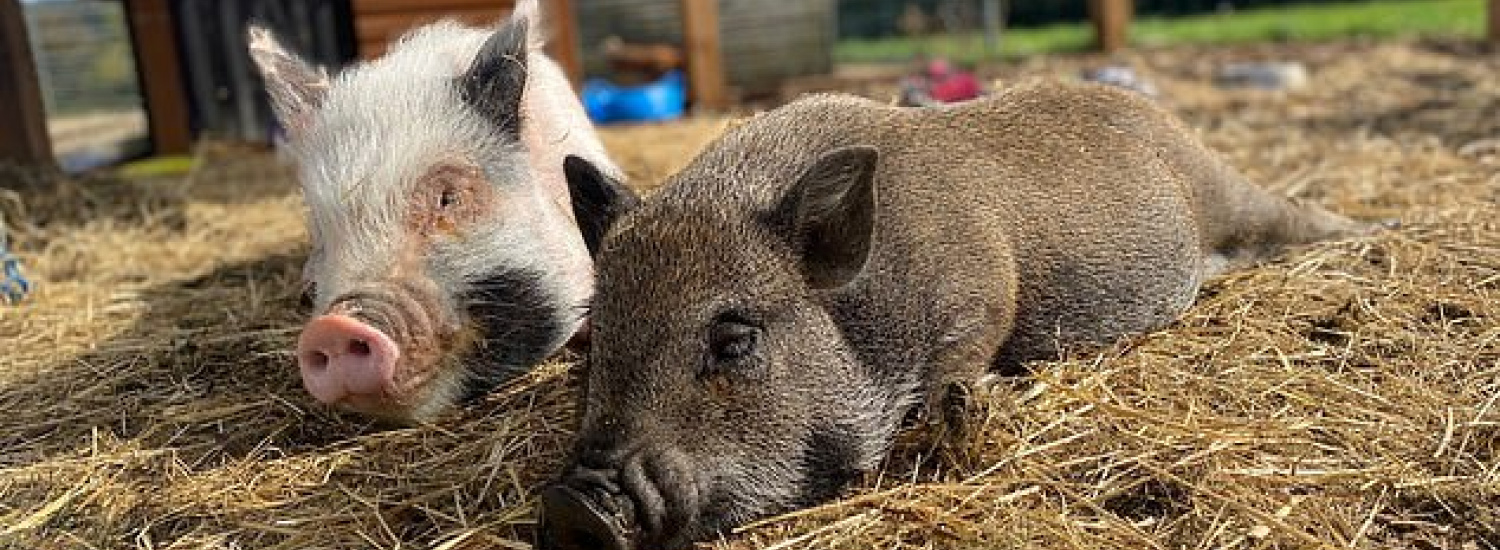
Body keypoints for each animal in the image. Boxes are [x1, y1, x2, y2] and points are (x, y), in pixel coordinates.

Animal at [540, 82, 1374, 550]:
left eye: (734, 338)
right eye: (599, 338)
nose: (575, 501)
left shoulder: (984, 285)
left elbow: (969, 352)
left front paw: (959, 421)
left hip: (1230, 193)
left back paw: (1380, 230)